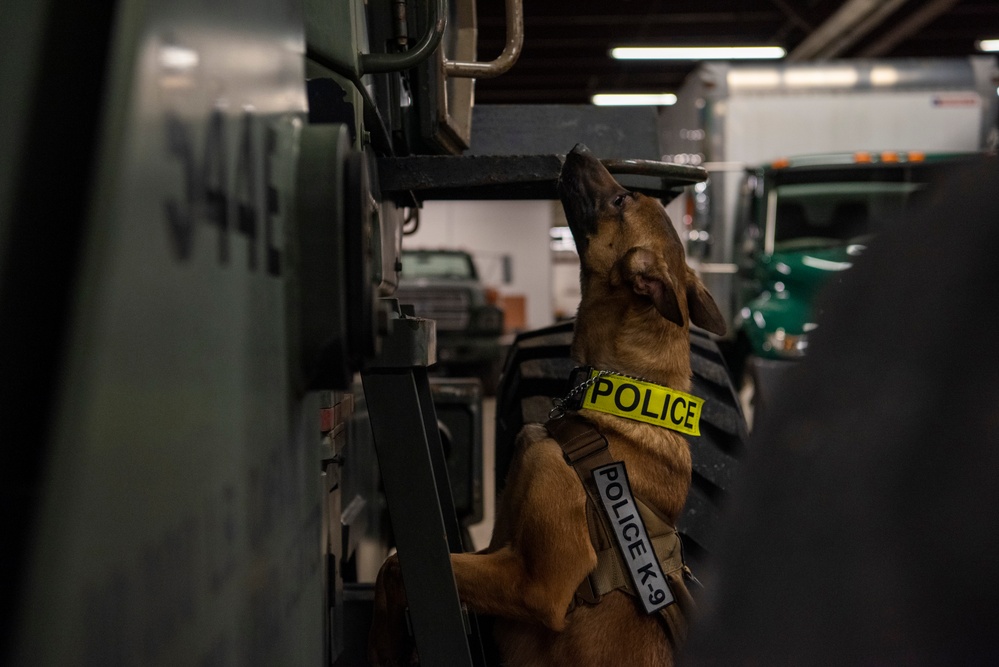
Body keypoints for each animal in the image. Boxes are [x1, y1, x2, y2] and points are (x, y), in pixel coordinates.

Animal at [374, 145, 728, 667]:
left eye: (621, 199)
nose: (578, 149)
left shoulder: (536, 586)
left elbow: (394, 567)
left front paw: (384, 645)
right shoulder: (498, 548)